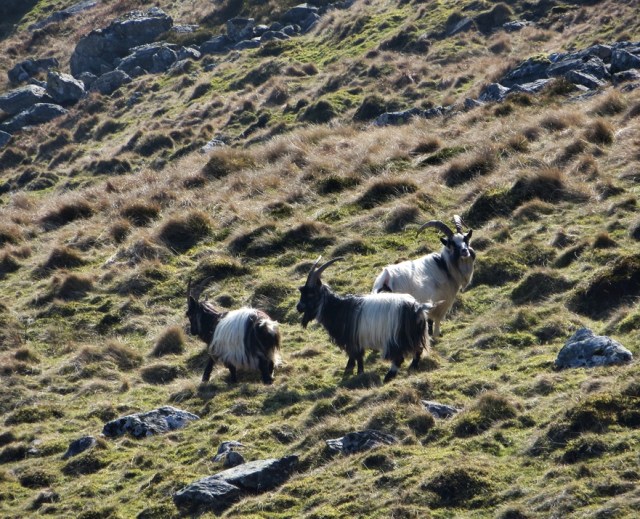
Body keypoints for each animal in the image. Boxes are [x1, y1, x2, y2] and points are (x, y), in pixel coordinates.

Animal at [296, 256, 433, 383]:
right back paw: (412, 368)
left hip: (397, 338)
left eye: (310, 294)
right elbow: (354, 357)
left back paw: (388, 377)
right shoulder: (356, 340)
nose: (298, 307)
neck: (338, 308)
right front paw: (350, 371)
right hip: (415, 335)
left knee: (399, 358)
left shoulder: (353, 339)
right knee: (418, 350)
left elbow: (357, 356)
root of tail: (418, 308)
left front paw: (358, 373)